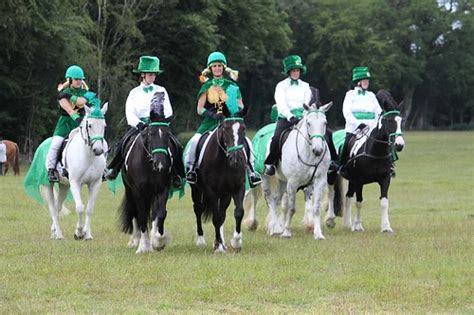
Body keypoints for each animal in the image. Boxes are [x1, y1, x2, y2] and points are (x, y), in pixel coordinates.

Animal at [42, 105, 108, 241]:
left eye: (104, 126)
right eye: (90, 125)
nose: (98, 150)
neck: (88, 156)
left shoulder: (95, 184)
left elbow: (89, 209)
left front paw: (88, 234)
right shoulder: (75, 183)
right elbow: (80, 208)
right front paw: (78, 232)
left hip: (64, 186)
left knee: (58, 207)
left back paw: (54, 232)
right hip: (47, 185)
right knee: (53, 209)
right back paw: (59, 235)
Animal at [118, 93, 180, 254]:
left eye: (167, 135)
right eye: (151, 134)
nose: (161, 164)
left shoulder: (162, 189)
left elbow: (160, 213)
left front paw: (158, 240)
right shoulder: (138, 191)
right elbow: (141, 216)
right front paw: (143, 246)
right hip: (130, 191)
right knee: (135, 212)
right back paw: (135, 240)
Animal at [190, 117, 248, 253]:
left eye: (243, 128)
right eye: (226, 129)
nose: (236, 158)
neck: (225, 162)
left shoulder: (238, 188)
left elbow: (238, 212)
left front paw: (235, 242)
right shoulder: (211, 191)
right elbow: (215, 218)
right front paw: (218, 247)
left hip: (225, 194)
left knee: (222, 214)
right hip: (196, 190)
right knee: (198, 210)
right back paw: (201, 240)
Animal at [244, 102, 334, 241]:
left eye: (325, 122)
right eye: (309, 123)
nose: (318, 150)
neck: (308, 154)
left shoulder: (319, 181)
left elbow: (316, 208)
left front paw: (318, 233)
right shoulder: (293, 183)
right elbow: (291, 209)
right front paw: (286, 232)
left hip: (281, 180)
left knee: (276, 200)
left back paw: (274, 227)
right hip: (263, 177)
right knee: (263, 199)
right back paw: (263, 226)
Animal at [326, 90, 408, 233]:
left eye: (400, 121)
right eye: (388, 120)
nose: (399, 144)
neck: (375, 152)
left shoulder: (385, 179)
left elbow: (384, 202)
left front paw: (386, 227)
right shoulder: (360, 180)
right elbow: (359, 202)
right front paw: (358, 225)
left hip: (351, 179)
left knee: (348, 197)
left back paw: (347, 223)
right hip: (332, 173)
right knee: (331, 193)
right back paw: (331, 220)